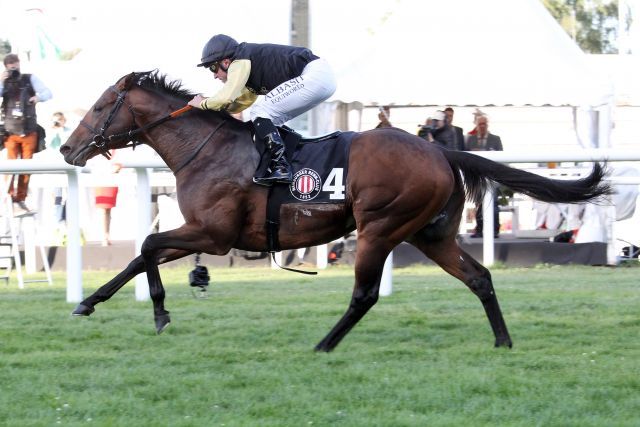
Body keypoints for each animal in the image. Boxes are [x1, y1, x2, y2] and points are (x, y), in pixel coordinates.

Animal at [58, 71, 608, 352]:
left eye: (101, 106)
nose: (66, 148)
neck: (206, 148)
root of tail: (441, 152)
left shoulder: (212, 233)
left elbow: (148, 245)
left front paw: (159, 312)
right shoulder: (202, 232)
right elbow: (140, 255)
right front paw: (88, 302)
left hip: (381, 228)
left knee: (365, 294)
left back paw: (323, 345)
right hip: (432, 235)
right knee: (480, 277)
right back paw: (502, 342)